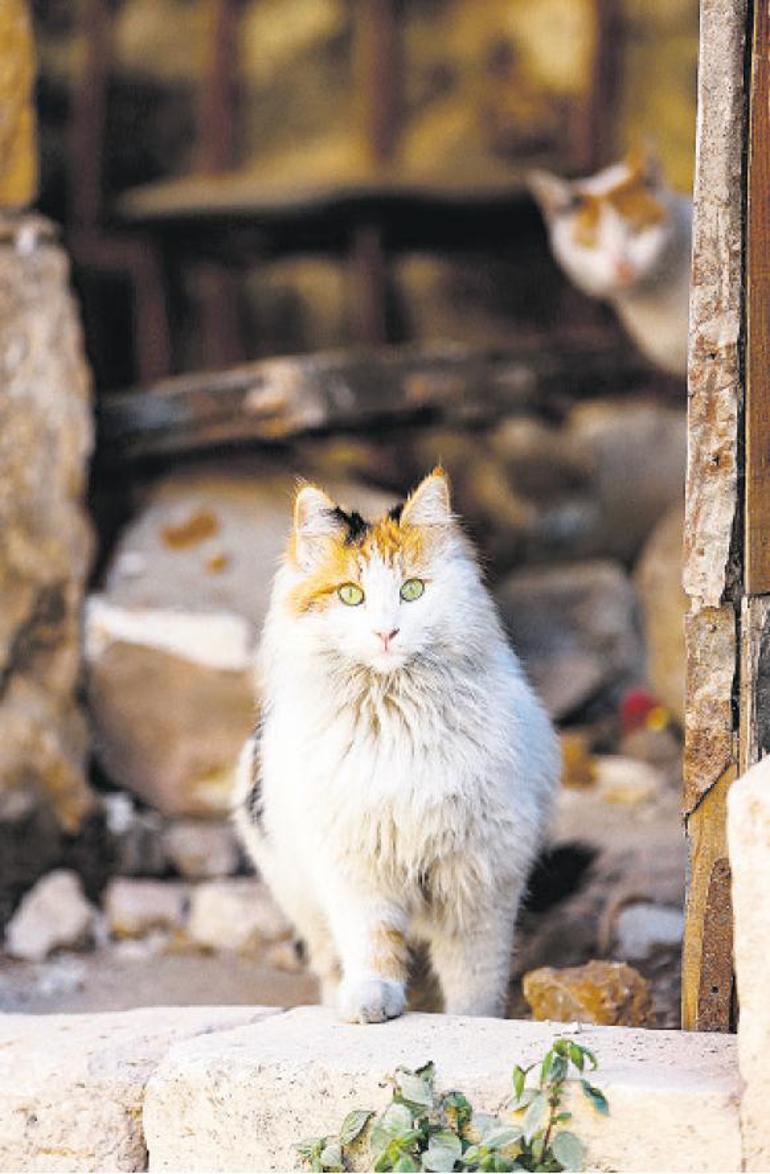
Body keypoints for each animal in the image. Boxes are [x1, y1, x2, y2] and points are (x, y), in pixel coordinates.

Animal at [231, 471, 556, 1023]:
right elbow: (374, 945)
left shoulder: (480, 875)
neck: (394, 715)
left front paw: (473, 1022)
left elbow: (474, 977)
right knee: (332, 960)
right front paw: (371, 1001)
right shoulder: (357, 868)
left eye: (411, 591)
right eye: (350, 595)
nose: (387, 632)